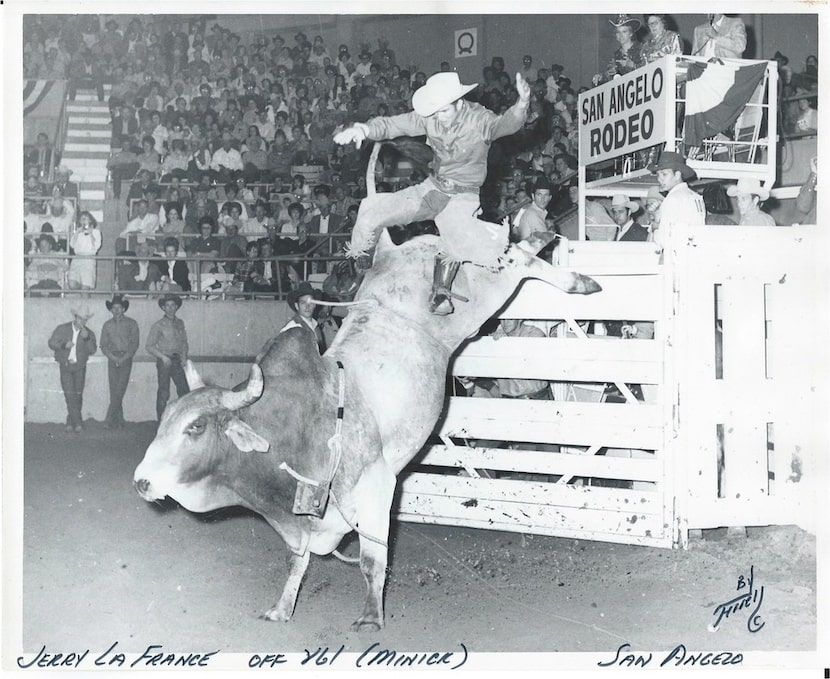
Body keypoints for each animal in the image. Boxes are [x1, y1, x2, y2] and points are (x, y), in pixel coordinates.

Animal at [135, 153, 604, 632]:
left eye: (195, 427)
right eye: (167, 421)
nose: (141, 481)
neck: (296, 429)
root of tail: (399, 247)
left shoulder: (377, 486)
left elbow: (371, 559)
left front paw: (370, 617)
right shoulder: (303, 524)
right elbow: (296, 560)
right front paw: (282, 608)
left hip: (488, 285)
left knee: (518, 256)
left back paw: (572, 273)